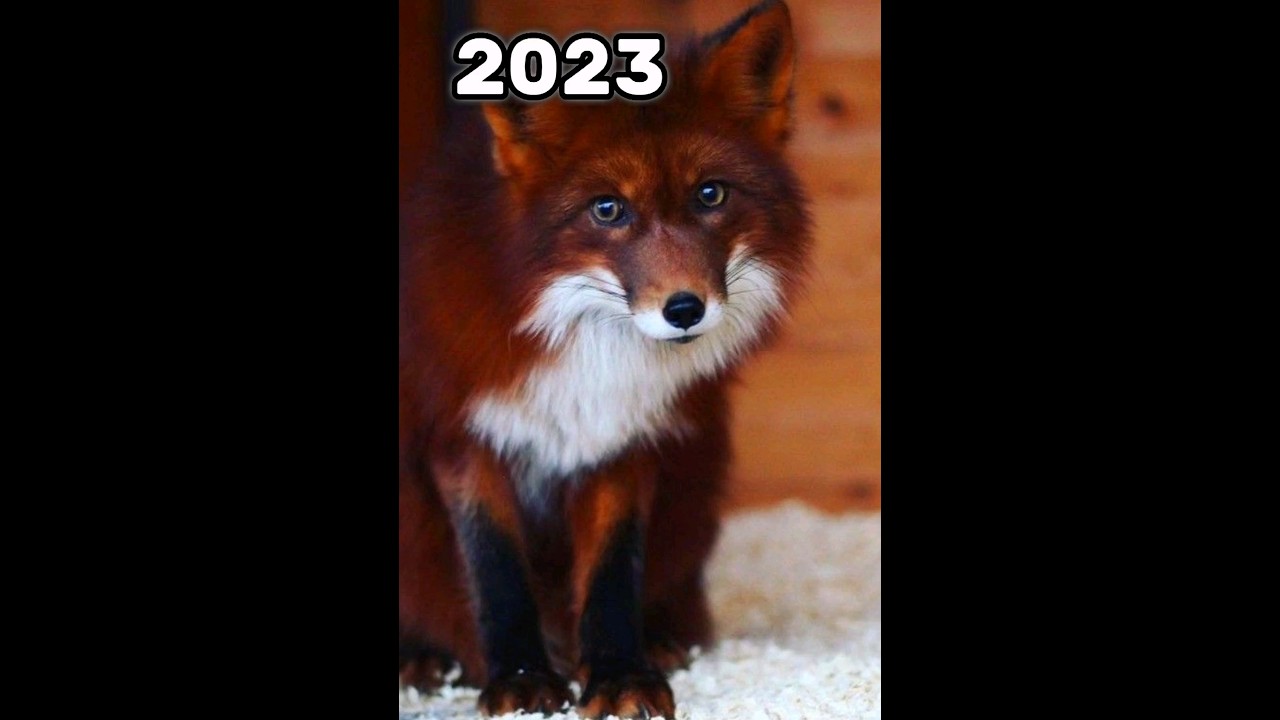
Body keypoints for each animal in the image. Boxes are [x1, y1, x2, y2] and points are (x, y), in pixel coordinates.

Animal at [398, 1, 812, 717]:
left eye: (710, 195)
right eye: (608, 209)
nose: (685, 309)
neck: (584, 362)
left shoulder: (621, 442)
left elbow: (613, 573)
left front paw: (620, 675)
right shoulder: (463, 436)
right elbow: (496, 573)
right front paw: (521, 681)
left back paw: (667, 641)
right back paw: (420, 657)